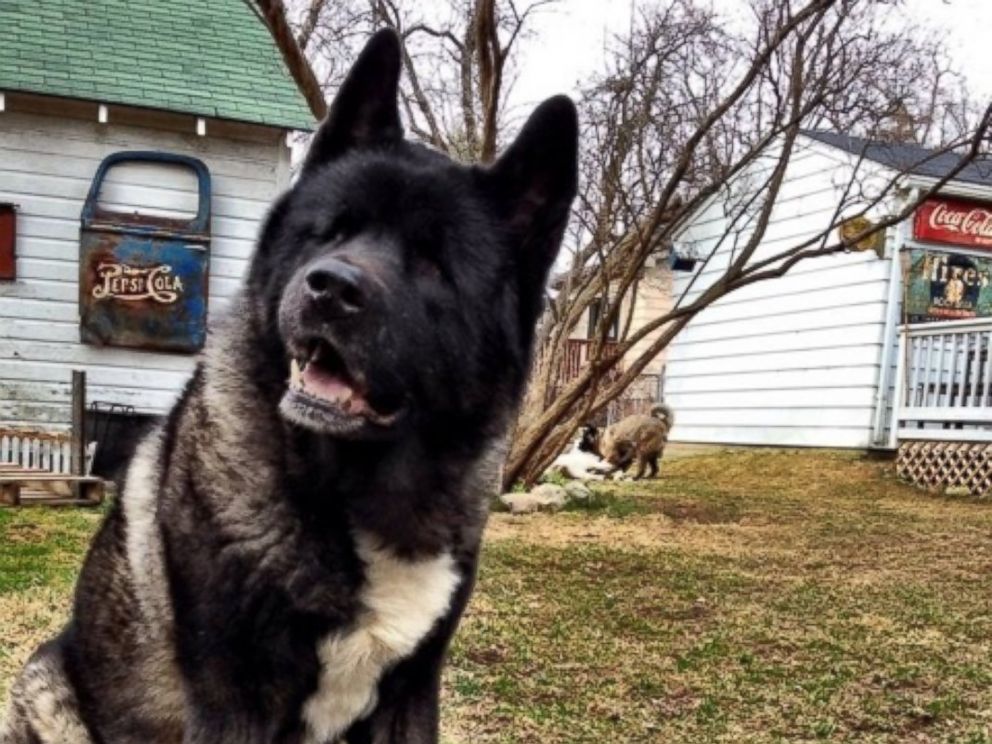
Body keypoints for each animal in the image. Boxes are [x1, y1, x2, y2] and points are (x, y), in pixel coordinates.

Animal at [0, 29, 576, 744]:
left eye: (433, 263)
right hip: (50, 685)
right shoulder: (234, 703)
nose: (330, 287)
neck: (356, 495)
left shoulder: (410, 698)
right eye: (331, 231)